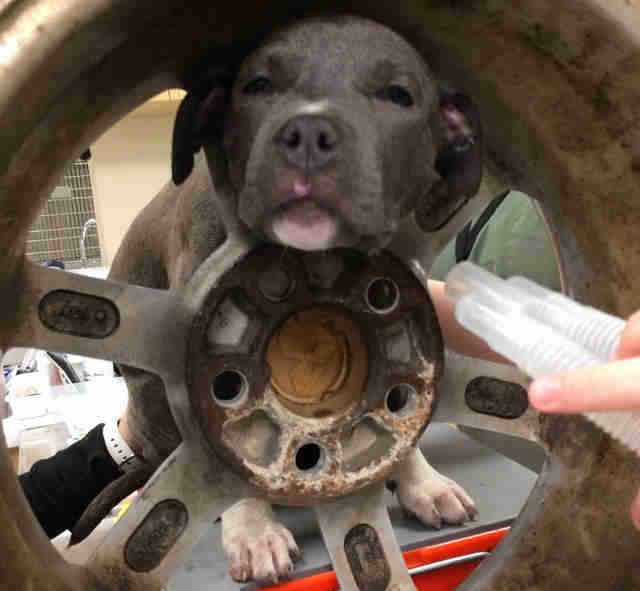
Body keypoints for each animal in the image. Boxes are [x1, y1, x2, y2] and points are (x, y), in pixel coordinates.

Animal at [80, 15, 482, 588]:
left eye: (398, 94)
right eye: (258, 85)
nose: (310, 135)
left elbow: (402, 410)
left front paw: (420, 482)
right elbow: (232, 451)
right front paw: (254, 532)